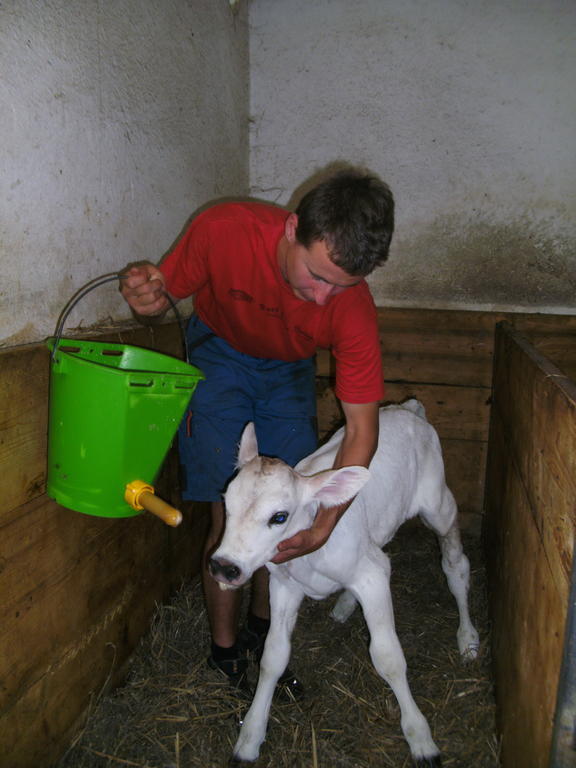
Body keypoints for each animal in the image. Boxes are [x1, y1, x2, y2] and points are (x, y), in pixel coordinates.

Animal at [209, 400, 480, 764]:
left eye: (279, 517)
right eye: (226, 502)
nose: (224, 567)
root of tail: (407, 407)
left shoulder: (372, 576)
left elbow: (388, 657)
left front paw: (421, 739)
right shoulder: (284, 584)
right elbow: (272, 657)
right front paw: (250, 738)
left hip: (439, 503)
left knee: (455, 566)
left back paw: (467, 638)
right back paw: (345, 605)